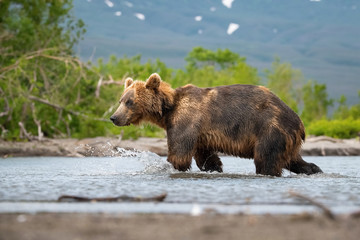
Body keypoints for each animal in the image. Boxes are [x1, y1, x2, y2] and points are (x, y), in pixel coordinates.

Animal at [110, 73, 324, 176]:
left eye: (130, 101)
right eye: (121, 100)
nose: (113, 117)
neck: (168, 110)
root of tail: (300, 123)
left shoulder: (186, 121)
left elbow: (179, 154)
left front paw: (168, 166)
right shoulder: (201, 135)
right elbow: (205, 157)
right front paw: (215, 167)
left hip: (270, 129)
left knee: (266, 160)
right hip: (287, 140)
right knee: (295, 160)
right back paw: (314, 169)